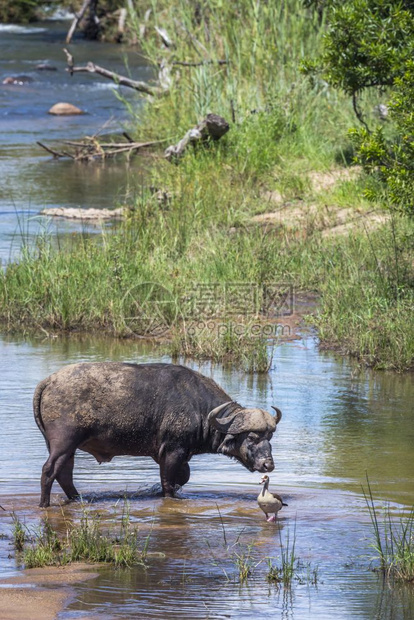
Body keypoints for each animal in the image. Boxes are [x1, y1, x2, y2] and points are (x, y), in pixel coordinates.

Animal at [34, 360, 282, 506]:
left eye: (269, 438)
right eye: (252, 437)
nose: (268, 465)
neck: (200, 408)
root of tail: (49, 381)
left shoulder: (176, 455)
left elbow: (182, 477)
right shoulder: (173, 451)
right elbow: (168, 483)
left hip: (66, 448)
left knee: (64, 474)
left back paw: (78, 499)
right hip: (64, 442)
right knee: (49, 471)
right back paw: (45, 504)